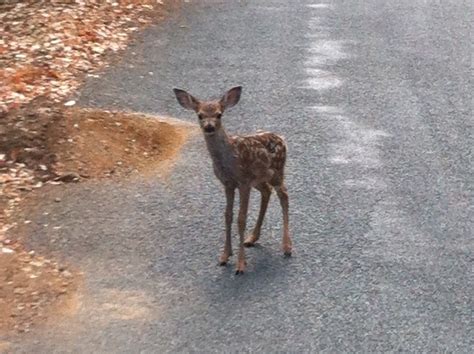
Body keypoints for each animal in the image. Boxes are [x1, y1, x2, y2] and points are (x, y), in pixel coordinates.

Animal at [174, 85, 292, 274]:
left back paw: (287, 246)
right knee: (267, 191)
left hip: (277, 171)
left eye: (219, 114)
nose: (209, 127)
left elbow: (241, 218)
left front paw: (241, 265)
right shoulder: (228, 183)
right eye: (199, 115)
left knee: (284, 195)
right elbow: (228, 215)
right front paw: (224, 256)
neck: (228, 158)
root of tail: (281, 138)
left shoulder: (243, 182)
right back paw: (252, 238)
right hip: (259, 179)